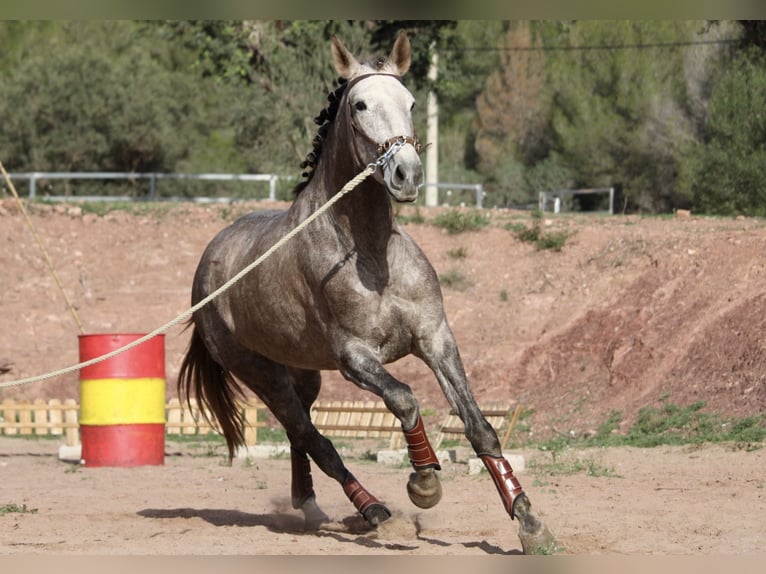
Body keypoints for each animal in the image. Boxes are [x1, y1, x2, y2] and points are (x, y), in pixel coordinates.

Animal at [178, 31, 556, 552]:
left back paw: (310, 506)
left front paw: (529, 521)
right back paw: (374, 511)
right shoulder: (355, 357)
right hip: (260, 373)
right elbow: (405, 399)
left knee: (301, 435)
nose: (407, 174)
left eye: (411, 102)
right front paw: (424, 483)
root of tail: (205, 269)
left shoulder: (436, 338)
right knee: (314, 439)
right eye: (359, 104)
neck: (371, 253)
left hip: (304, 374)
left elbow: (480, 428)